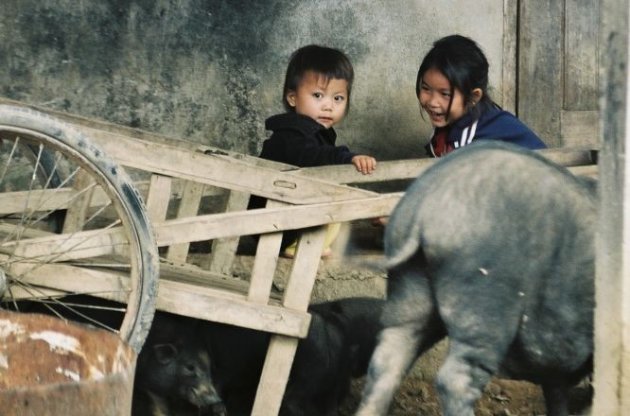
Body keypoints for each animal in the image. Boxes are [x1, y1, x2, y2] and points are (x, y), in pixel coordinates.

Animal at [356, 141, 596, 416]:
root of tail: (424, 206)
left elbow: (557, 393)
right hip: (485, 295)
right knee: (456, 379)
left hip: (410, 285)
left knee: (387, 357)